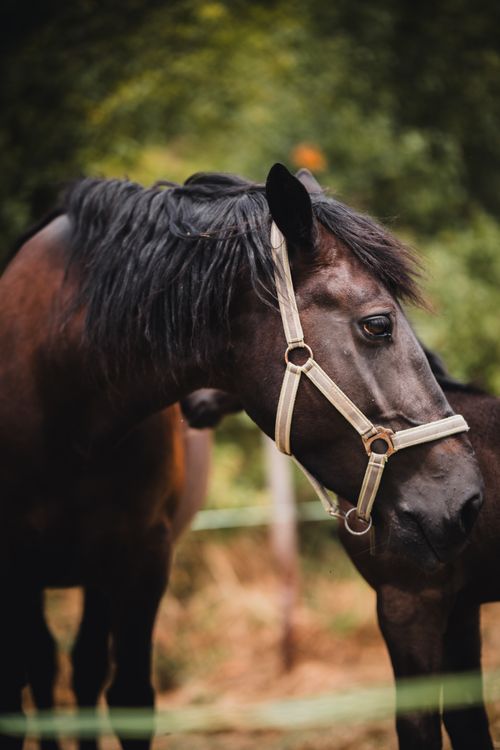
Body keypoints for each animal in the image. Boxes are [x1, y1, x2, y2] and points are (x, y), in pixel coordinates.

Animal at [0, 163, 483, 749]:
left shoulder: (143, 559)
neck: (55, 383)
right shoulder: (16, 569)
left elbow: (128, 698)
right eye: (377, 325)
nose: (466, 499)